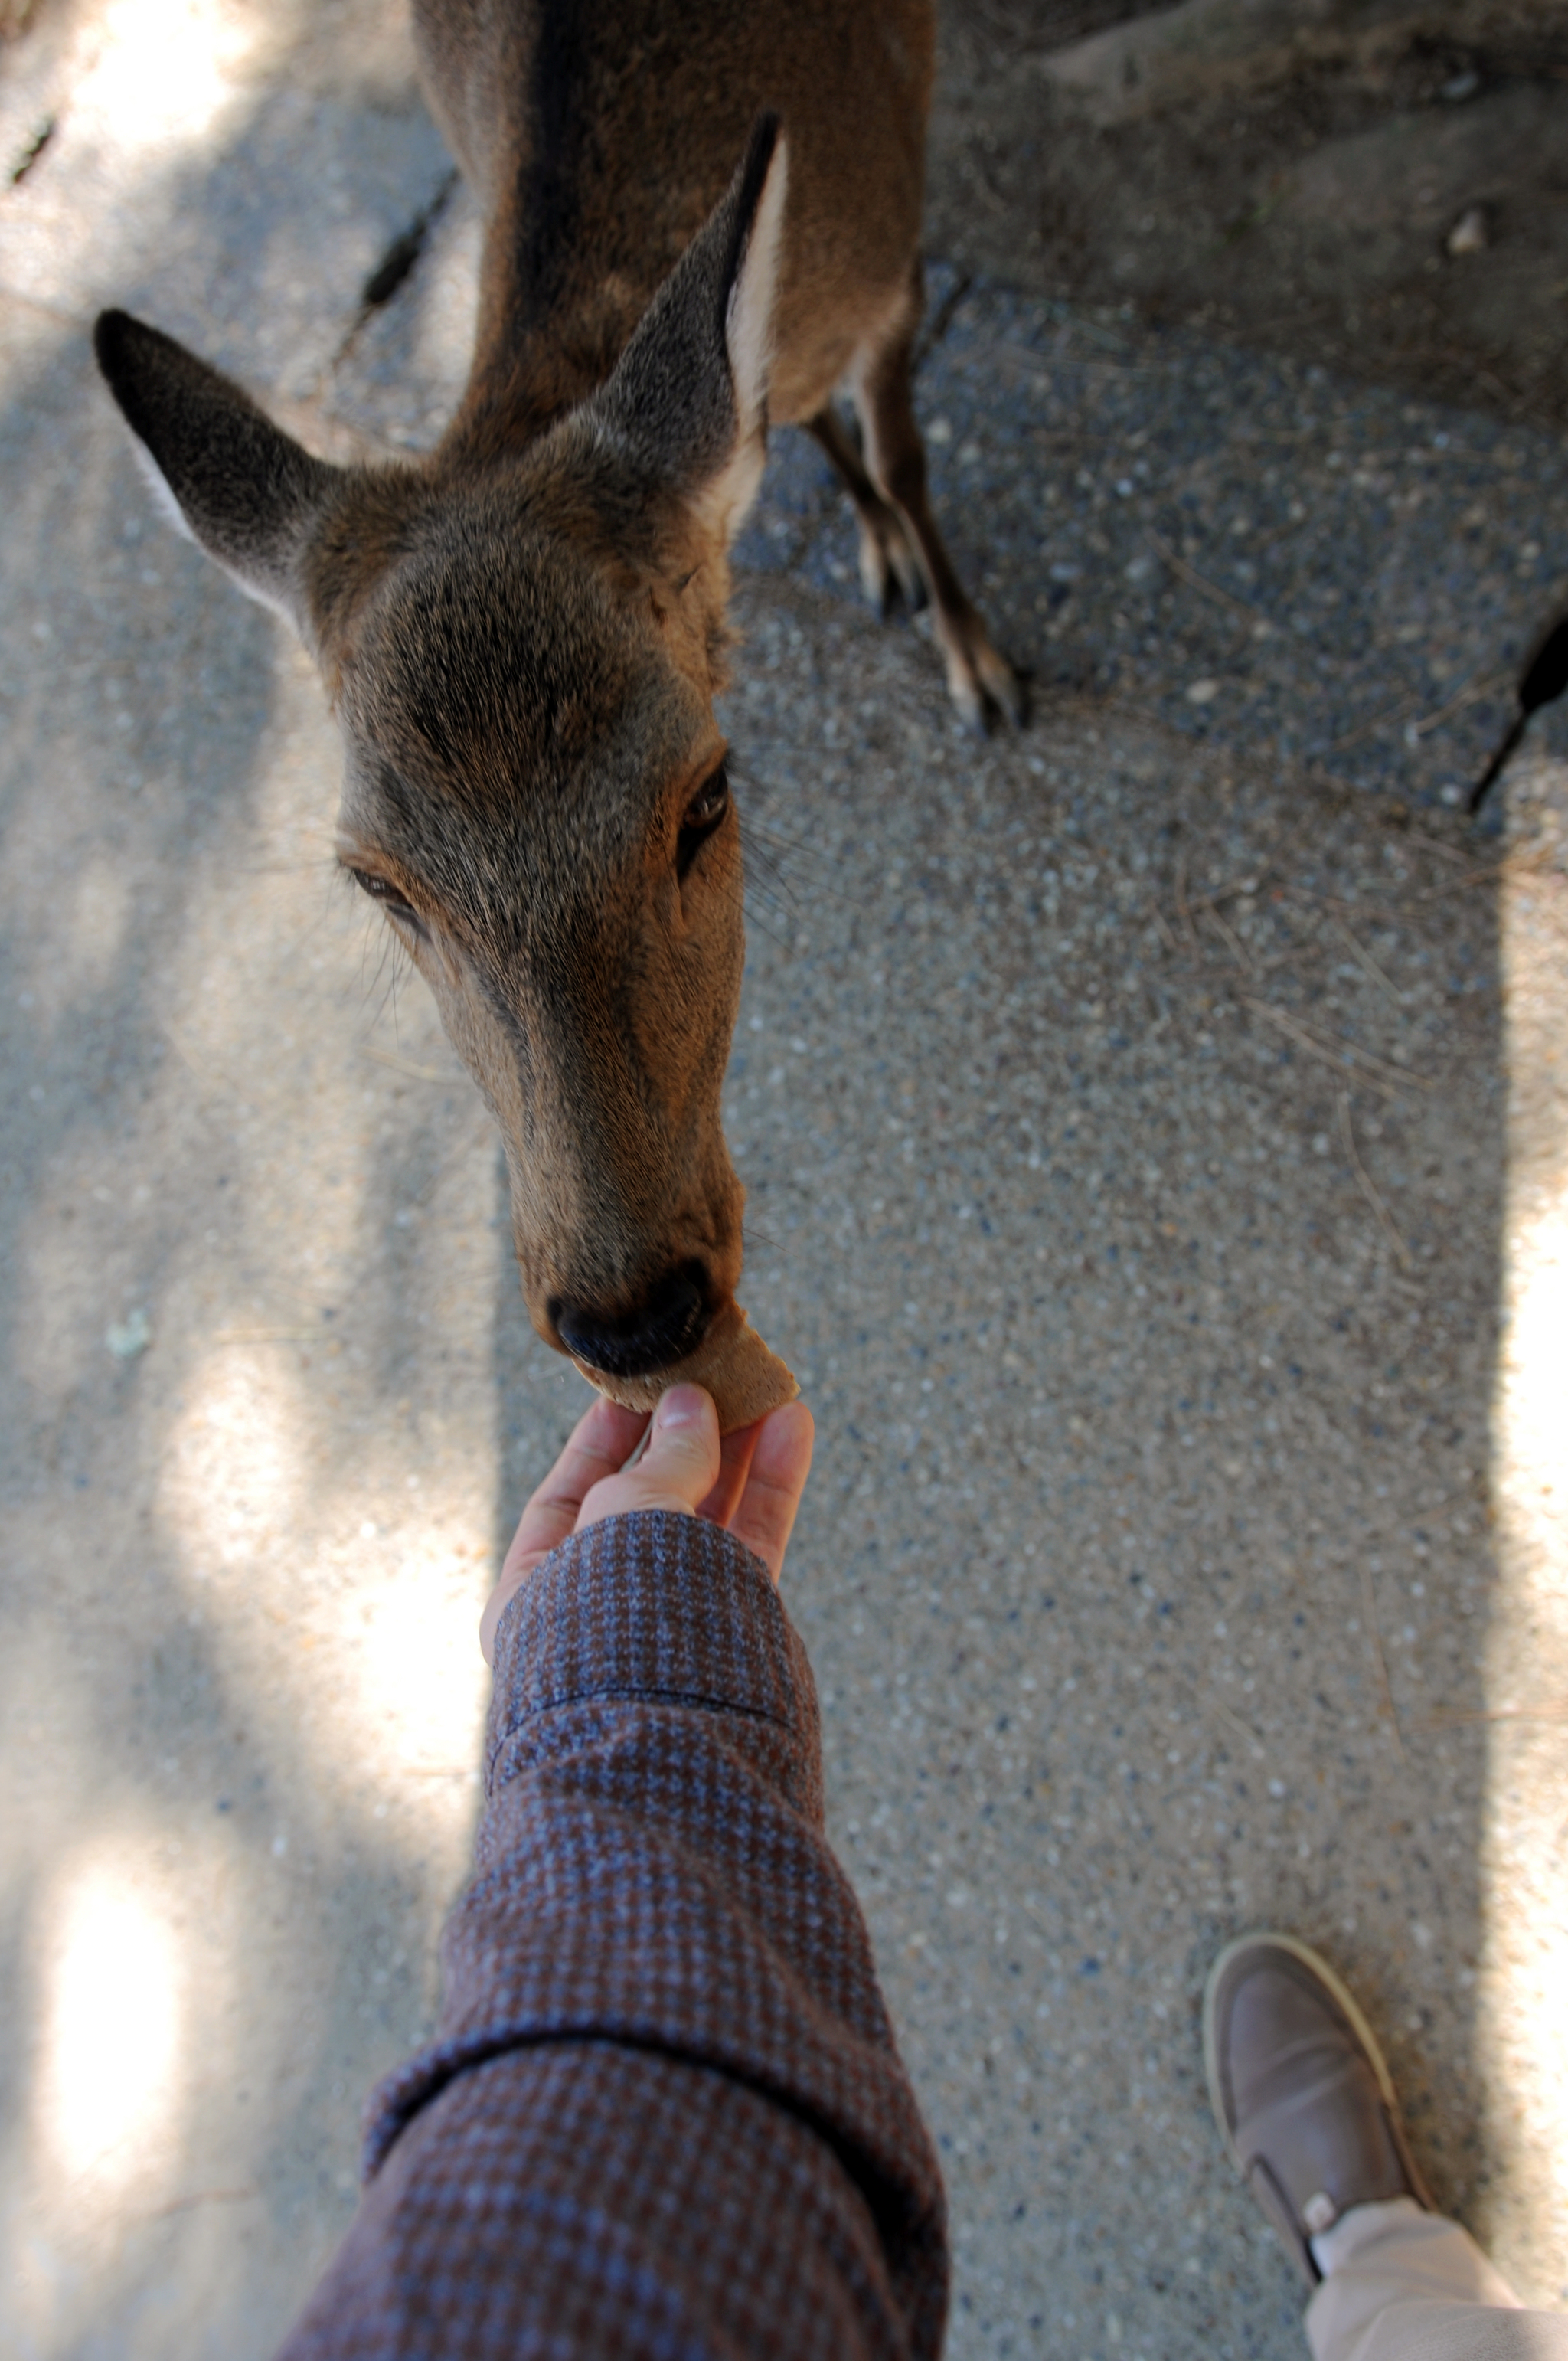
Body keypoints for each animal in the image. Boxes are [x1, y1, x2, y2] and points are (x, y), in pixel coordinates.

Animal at [97, 0, 1029, 1426]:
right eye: (377, 881)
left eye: (708, 797)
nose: (634, 1316)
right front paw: (893, 566)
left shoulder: (896, 264)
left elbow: (907, 451)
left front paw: (979, 662)